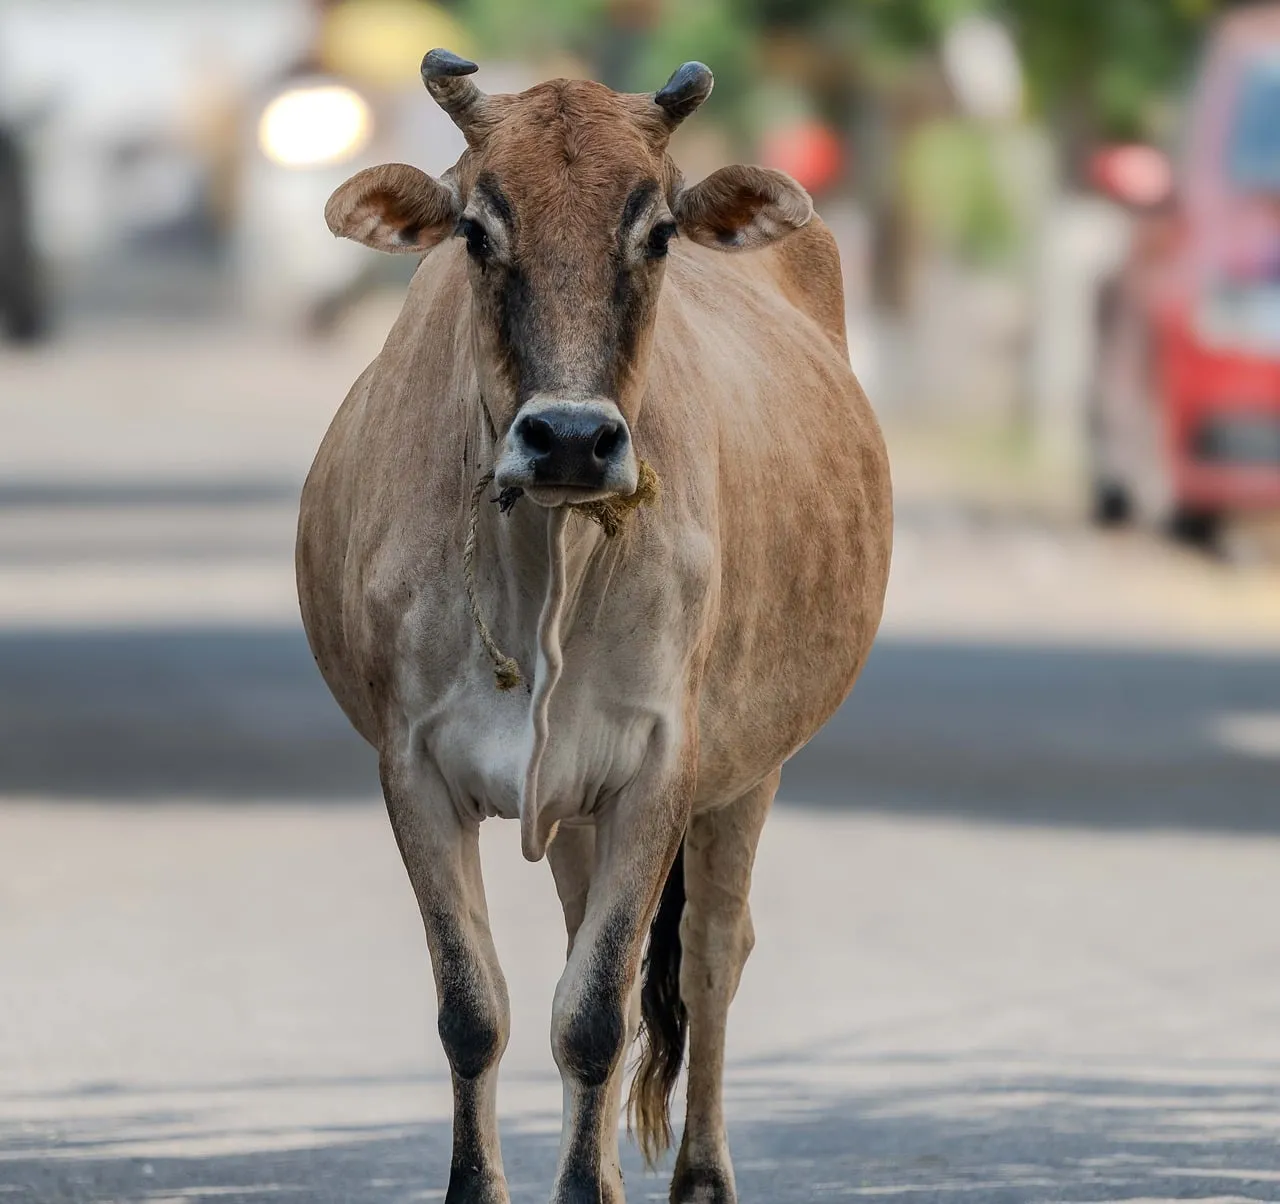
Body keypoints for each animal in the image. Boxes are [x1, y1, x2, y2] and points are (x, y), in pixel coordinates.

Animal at [296, 49, 892, 1204]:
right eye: (476, 228)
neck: (547, 562)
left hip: (749, 769)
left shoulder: (662, 764)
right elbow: (474, 1007)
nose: (570, 438)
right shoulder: (412, 765)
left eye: (655, 232)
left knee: (709, 954)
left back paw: (701, 1174)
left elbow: (593, 1016)